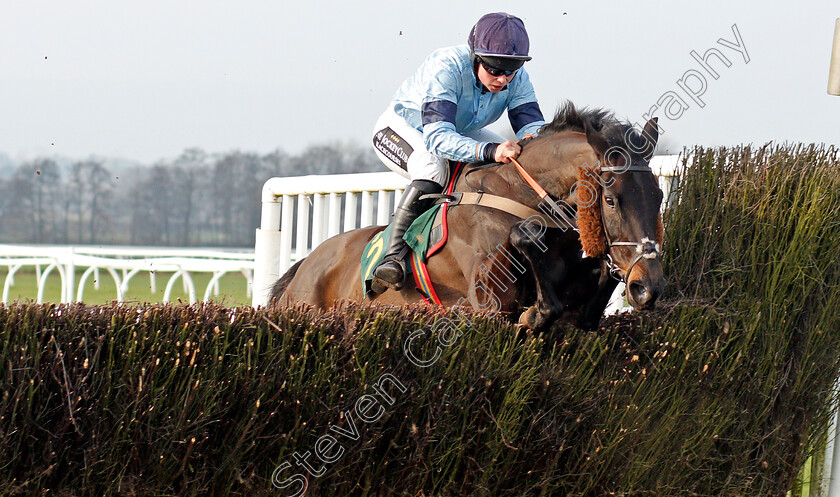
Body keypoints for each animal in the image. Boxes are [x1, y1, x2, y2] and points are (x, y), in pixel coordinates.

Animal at [272, 101, 668, 332]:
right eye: (612, 200)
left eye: (660, 196)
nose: (648, 287)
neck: (519, 196)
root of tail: (304, 265)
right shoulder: (488, 304)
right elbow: (532, 287)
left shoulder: (578, 315)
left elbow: (585, 298)